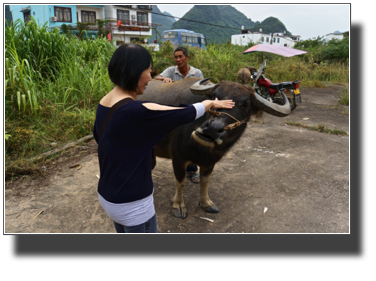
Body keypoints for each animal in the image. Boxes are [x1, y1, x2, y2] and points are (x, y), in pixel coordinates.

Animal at [138, 77, 290, 219]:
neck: (202, 149)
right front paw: (178, 206)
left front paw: (206, 203)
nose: (213, 128)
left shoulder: (210, 162)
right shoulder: (178, 159)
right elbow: (180, 183)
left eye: (246, 104)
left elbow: (205, 182)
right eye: (214, 96)